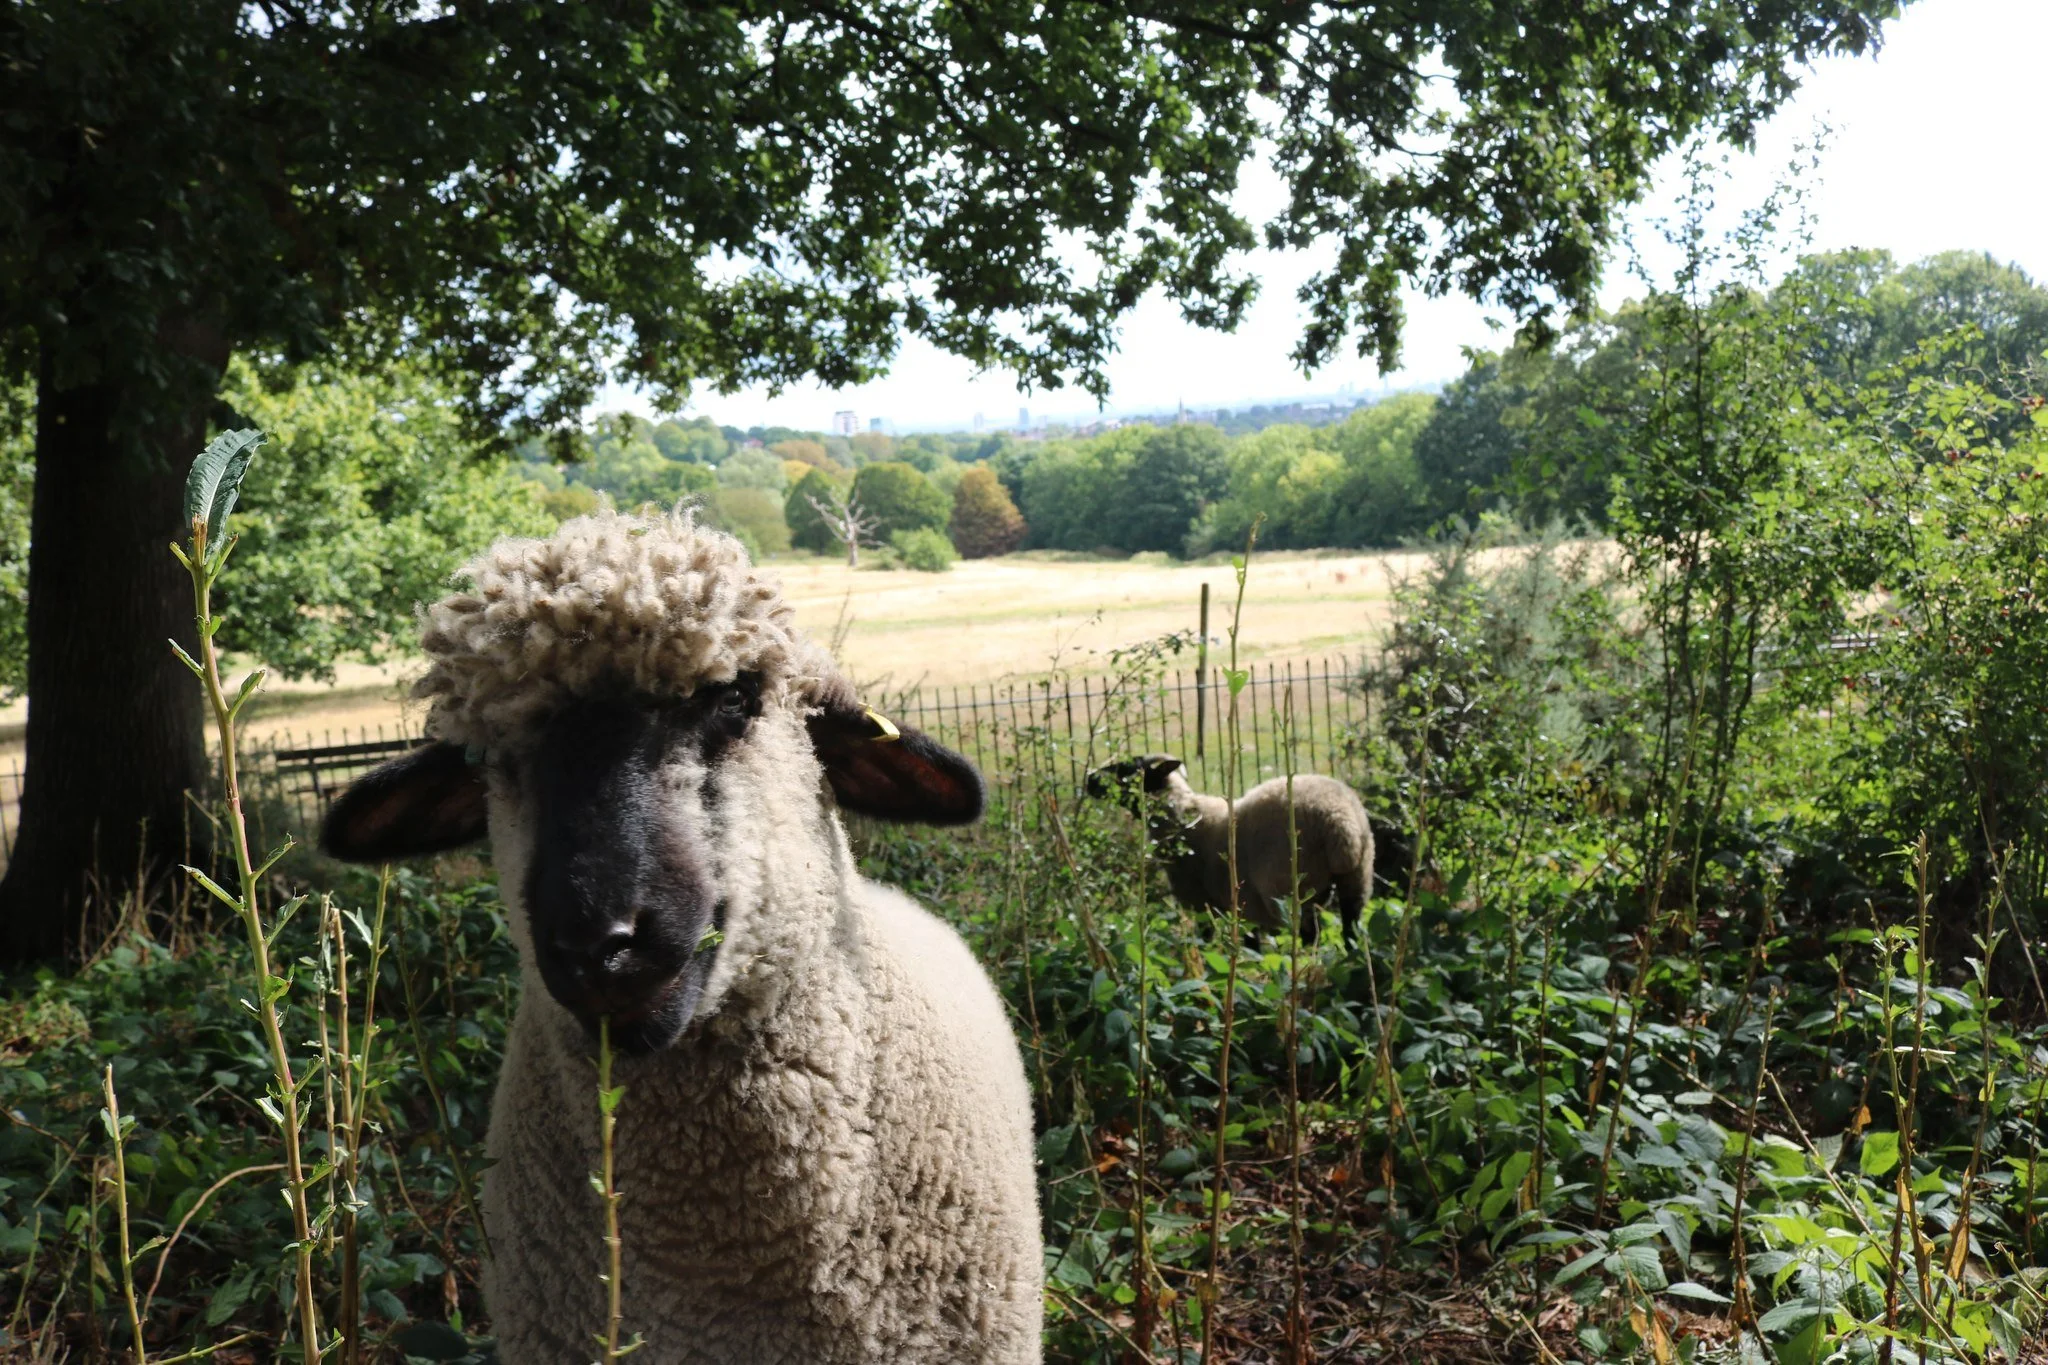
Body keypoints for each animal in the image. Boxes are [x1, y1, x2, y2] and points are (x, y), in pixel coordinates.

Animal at [1087, 754, 1374, 948]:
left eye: (1128, 768)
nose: (1090, 778)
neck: (1184, 819)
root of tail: (1340, 820)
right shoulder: (1243, 909)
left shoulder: (1204, 903)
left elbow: (1208, 943)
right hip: (1357, 881)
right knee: (1351, 933)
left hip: (1291, 891)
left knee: (1309, 935)